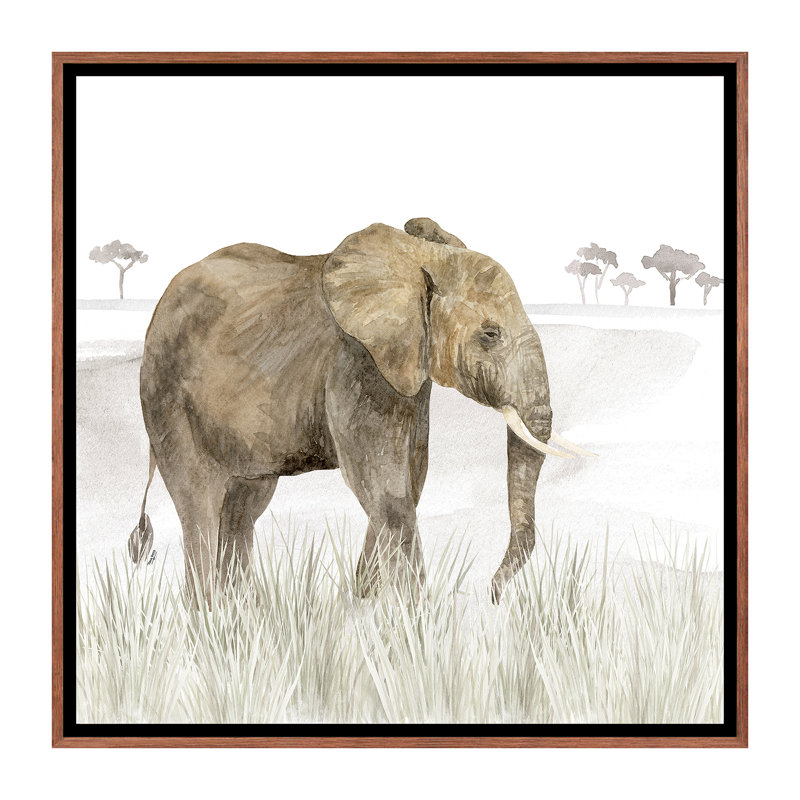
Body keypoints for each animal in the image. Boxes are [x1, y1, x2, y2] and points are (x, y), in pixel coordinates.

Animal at [129, 218, 590, 604]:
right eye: (490, 335)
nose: (492, 595)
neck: (419, 255)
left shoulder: (407, 371)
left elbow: (410, 479)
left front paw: (364, 601)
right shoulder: (354, 361)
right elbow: (384, 486)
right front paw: (412, 618)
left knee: (243, 506)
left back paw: (239, 614)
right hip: (167, 395)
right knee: (199, 504)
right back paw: (209, 616)